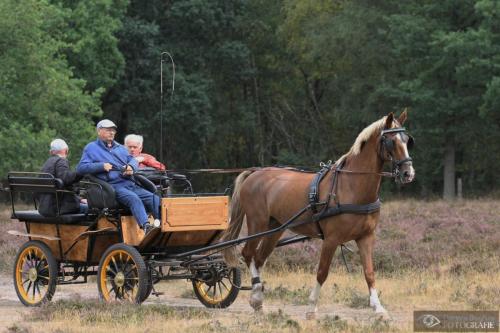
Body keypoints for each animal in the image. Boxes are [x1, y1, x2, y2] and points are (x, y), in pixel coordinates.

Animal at [222, 111, 414, 316]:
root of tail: (254, 173)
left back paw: (258, 300)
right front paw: (312, 307)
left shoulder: (366, 237)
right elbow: (322, 272)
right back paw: (257, 295)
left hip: (275, 228)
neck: (350, 185)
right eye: (390, 141)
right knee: (248, 253)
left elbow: (369, 272)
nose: (408, 173)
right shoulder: (331, 239)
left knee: (258, 259)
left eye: (407, 140)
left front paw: (378, 308)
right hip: (258, 223)